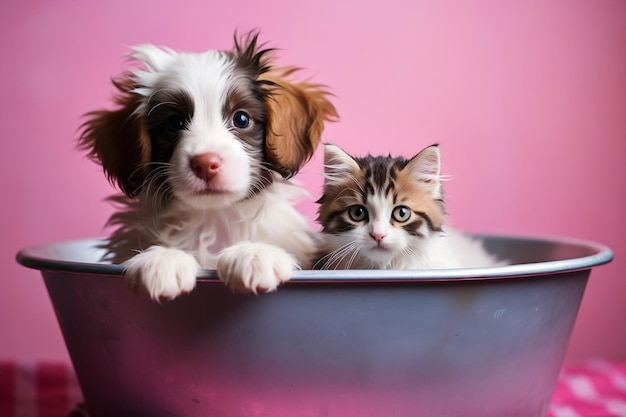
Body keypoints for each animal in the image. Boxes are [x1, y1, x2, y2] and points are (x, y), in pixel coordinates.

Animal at [81, 32, 338, 300]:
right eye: (174, 123)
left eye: (242, 119)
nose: (205, 163)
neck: (213, 219)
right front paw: (163, 259)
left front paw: (255, 254)